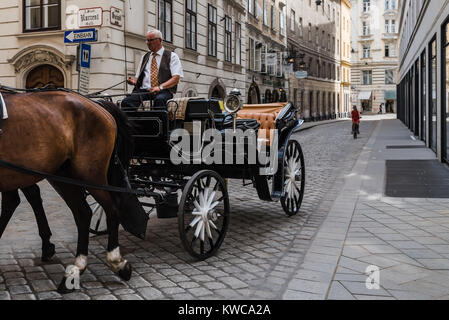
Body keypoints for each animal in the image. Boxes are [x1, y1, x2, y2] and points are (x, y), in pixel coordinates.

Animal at [0, 89, 133, 294]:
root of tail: (96, 104)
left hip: (90, 174)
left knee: (111, 209)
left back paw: (116, 261)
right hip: (63, 174)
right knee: (83, 212)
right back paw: (76, 269)